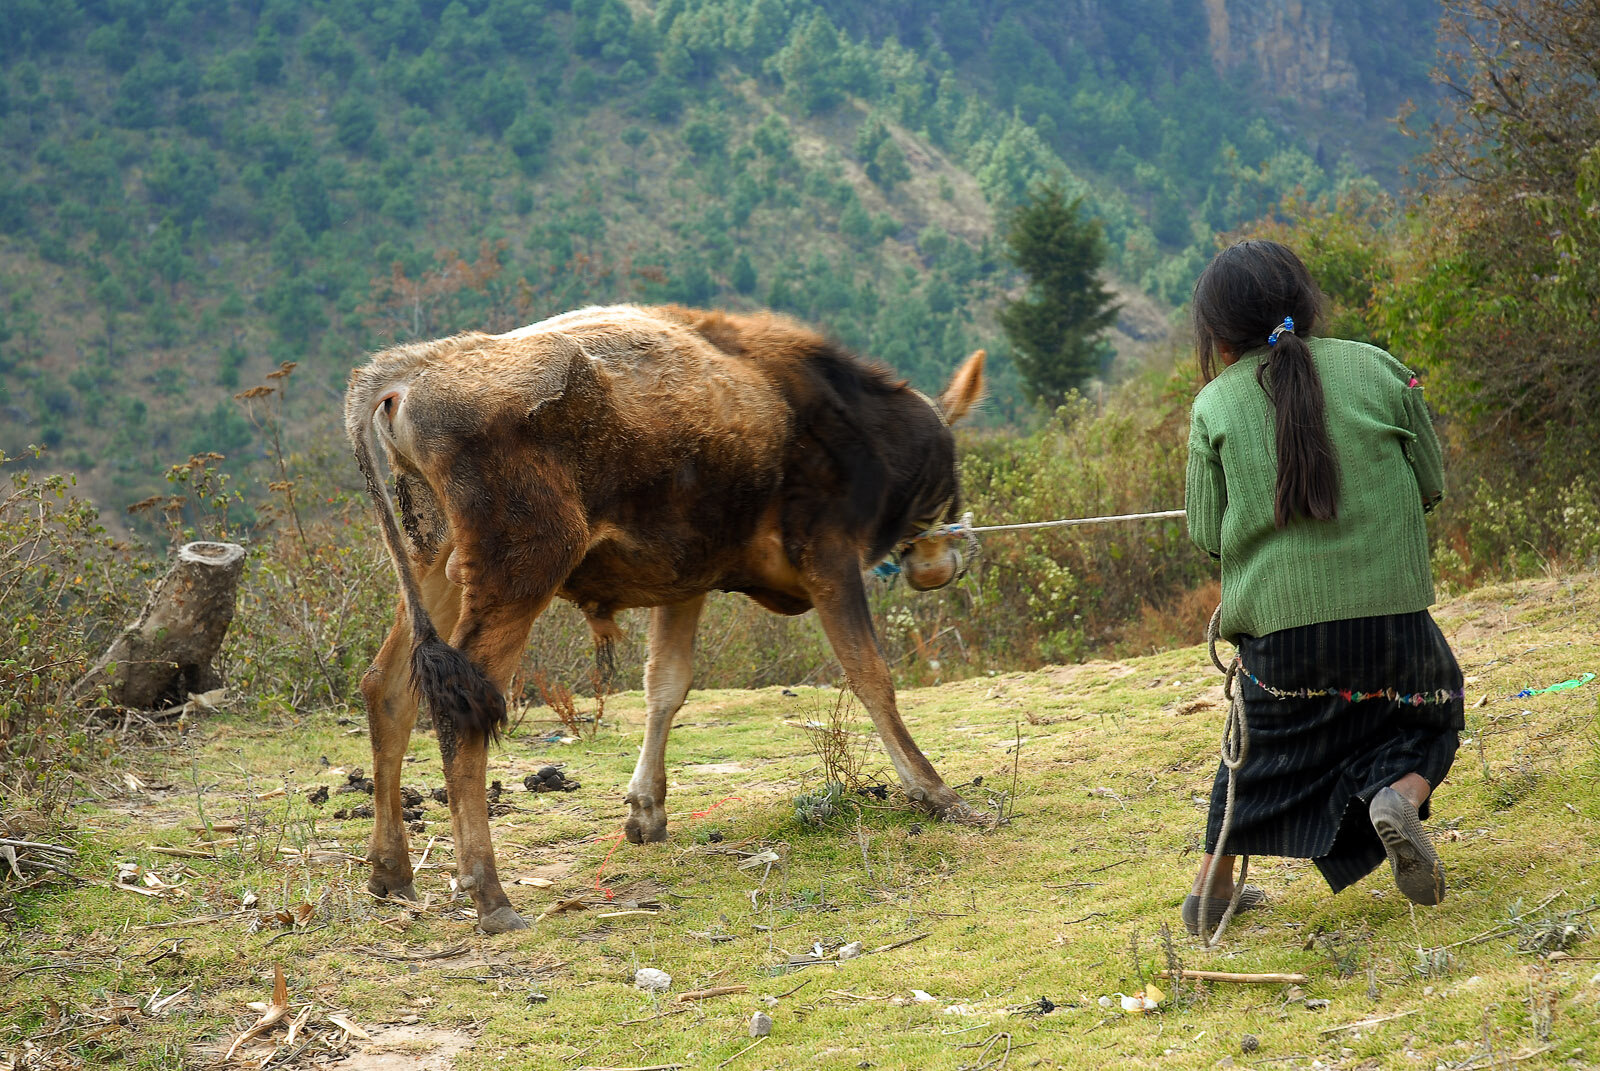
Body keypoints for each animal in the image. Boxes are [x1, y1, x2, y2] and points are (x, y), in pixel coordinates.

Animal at [350, 300, 985, 928]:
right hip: (521, 567)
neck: (856, 417)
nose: (948, 560)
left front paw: (646, 809)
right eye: (948, 476)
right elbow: (870, 675)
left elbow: (667, 686)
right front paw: (937, 793)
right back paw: (489, 893)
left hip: (434, 558)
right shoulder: (828, 554)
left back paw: (390, 871)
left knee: (388, 687)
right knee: (462, 711)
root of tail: (416, 366)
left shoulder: (685, 578)